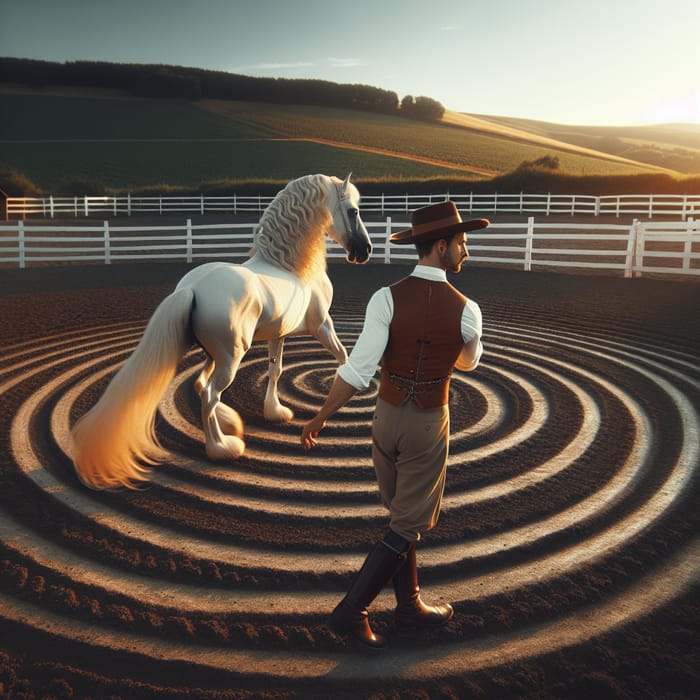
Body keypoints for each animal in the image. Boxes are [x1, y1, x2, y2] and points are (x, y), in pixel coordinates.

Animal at [70, 173, 372, 490]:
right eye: (353, 211)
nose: (365, 251)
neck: (288, 266)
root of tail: (192, 288)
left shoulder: (278, 335)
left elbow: (275, 370)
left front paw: (275, 412)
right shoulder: (322, 325)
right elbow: (342, 355)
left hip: (212, 353)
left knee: (201, 385)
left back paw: (230, 423)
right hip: (231, 358)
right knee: (209, 393)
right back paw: (223, 447)